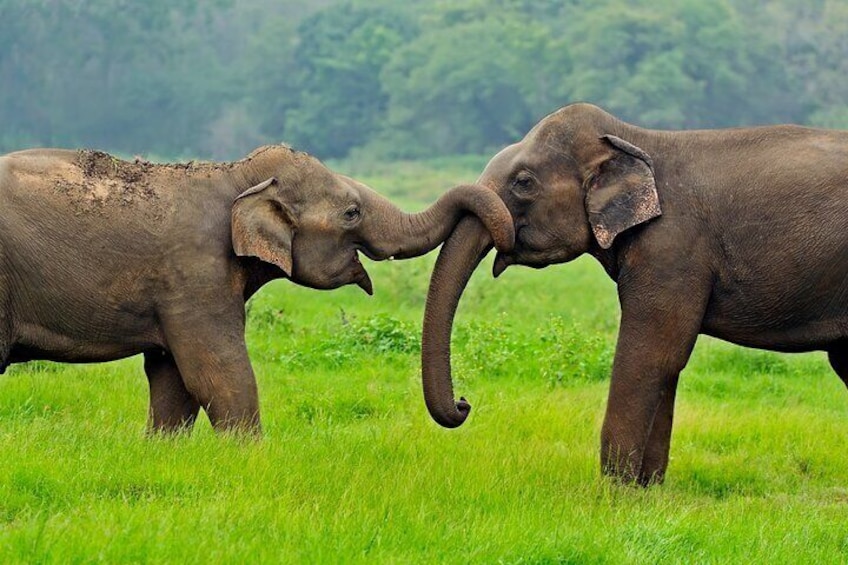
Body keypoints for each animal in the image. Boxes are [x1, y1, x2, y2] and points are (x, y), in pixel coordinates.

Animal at [0, 144, 512, 432]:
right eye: (351, 213)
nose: (465, 403)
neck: (237, 175)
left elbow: (173, 380)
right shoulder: (194, 273)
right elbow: (218, 375)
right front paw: (250, 459)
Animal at [420, 102, 848, 484]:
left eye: (523, 183)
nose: (464, 403)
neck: (635, 139)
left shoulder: (673, 250)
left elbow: (651, 356)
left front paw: (614, 495)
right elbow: (666, 365)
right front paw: (646, 492)